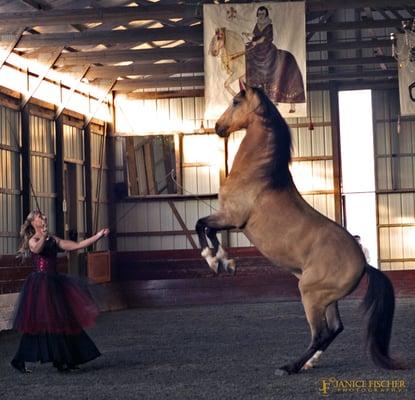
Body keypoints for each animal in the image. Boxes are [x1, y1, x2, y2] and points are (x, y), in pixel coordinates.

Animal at [197, 84, 408, 376]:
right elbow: (207, 230)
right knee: (335, 328)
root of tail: (364, 264)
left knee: (320, 334)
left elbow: (202, 226)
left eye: (236, 101)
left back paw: (290, 366)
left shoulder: (231, 217)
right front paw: (225, 263)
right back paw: (309, 362)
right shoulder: (227, 218)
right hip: (327, 298)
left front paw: (216, 260)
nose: (218, 127)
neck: (258, 175)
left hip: (310, 293)